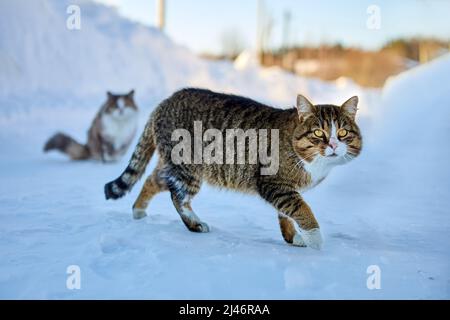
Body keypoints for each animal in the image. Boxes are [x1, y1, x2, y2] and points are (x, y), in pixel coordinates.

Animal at [103, 88, 360, 250]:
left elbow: (286, 214)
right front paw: (315, 239)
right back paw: (194, 224)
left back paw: (138, 210)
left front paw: (292, 237)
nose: (333, 145)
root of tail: (164, 102)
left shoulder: (286, 190)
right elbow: (301, 209)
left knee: (153, 179)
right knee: (178, 197)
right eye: (318, 132)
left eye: (343, 132)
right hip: (188, 169)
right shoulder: (275, 184)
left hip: (173, 166)